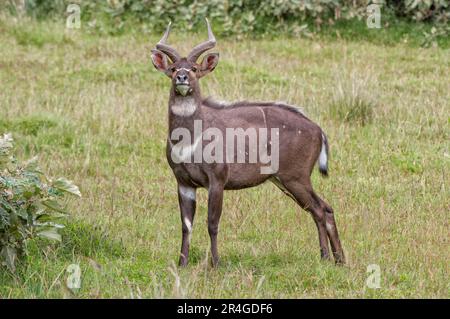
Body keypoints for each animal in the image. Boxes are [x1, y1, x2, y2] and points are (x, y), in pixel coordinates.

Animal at [151, 18, 344, 268]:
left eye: (193, 68)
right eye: (174, 68)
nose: (181, 78)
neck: (189, 141)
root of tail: (318, 130)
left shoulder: (217, 180)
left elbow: (212, 223)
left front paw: (216, 263)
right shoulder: (183, 182)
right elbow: (186, 225)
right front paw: (182, 263)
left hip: (296, 177)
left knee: (322, 209)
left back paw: (334, 258)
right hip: (284, 180)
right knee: (320, 209)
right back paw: (331, 258)